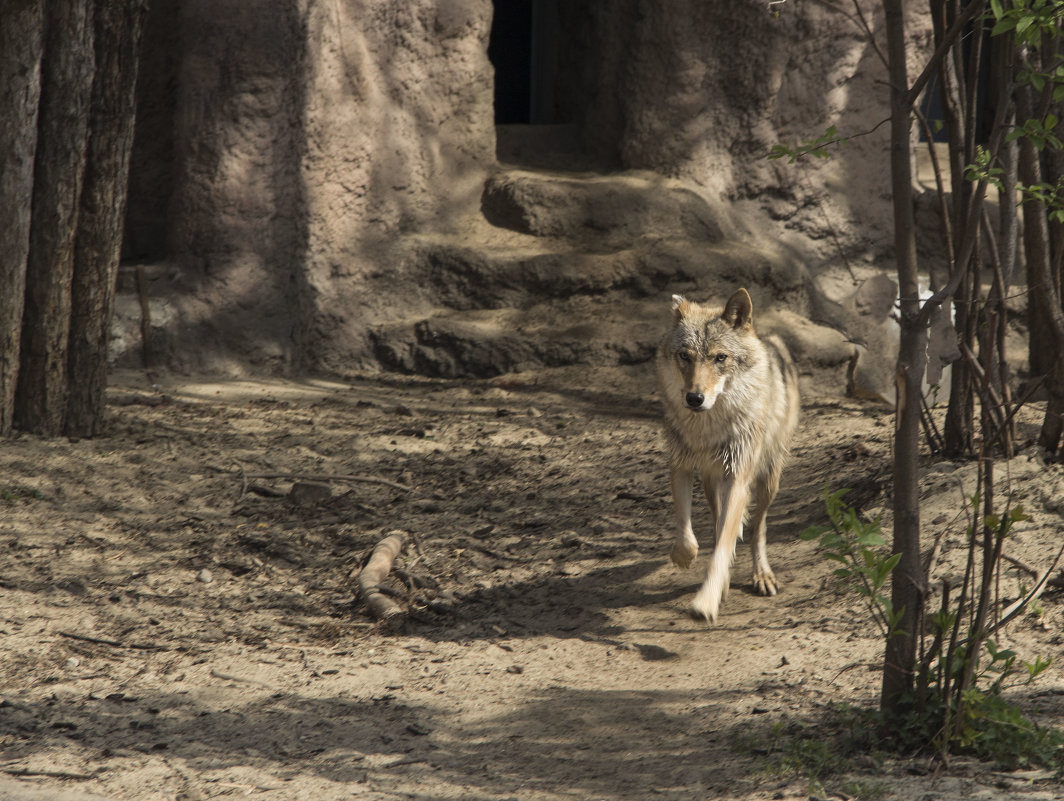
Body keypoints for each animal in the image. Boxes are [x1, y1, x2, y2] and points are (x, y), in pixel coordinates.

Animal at [655, 289, 800, 625]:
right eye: (685, 356)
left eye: (720, 358)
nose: (694, 398)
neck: (707, 429)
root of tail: (768, 336)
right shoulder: (680, 465)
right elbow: (687, 533)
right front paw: (684, 558)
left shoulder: (738, 480)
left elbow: (723, 546)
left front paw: (706, 601)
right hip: (711, 481)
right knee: (719, 516)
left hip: (767, 481)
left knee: (759, 528)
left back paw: (762, 575)